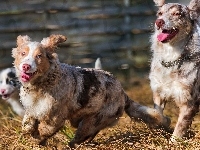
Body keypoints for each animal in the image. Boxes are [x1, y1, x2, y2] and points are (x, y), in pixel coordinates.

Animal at [149, 0, 200, 142]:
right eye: (160, 13)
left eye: (177, 14)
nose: (159, 22)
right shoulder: (159, 92)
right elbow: (158, 115)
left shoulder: (189, 101)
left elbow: (180, 128)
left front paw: (173, 142)